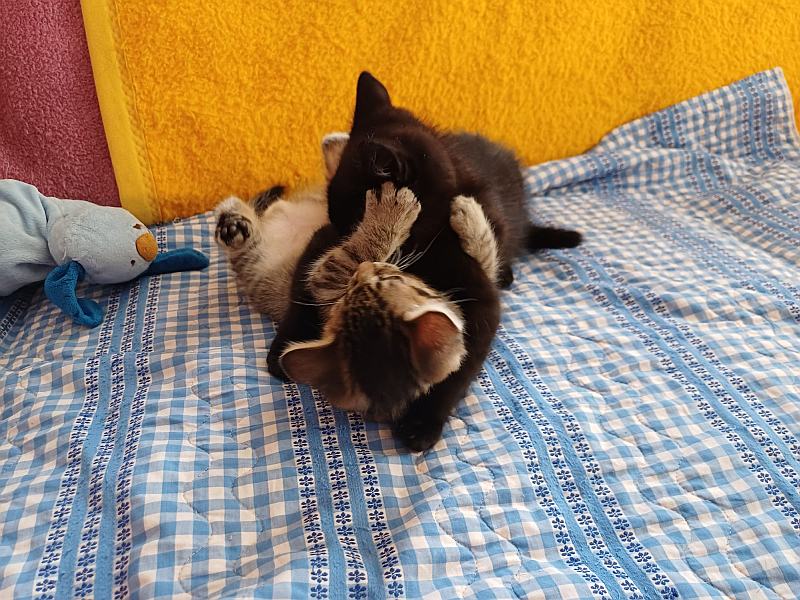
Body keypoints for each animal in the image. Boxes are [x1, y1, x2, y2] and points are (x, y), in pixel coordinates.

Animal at [269, 72, 582, 451]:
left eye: (354, 219)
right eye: (336, 221)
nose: (343, 239)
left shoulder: (480, 298)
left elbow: (460, 362)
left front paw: (423, 420)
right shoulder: (319, 243)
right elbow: (306, 283)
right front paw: (284, 349)